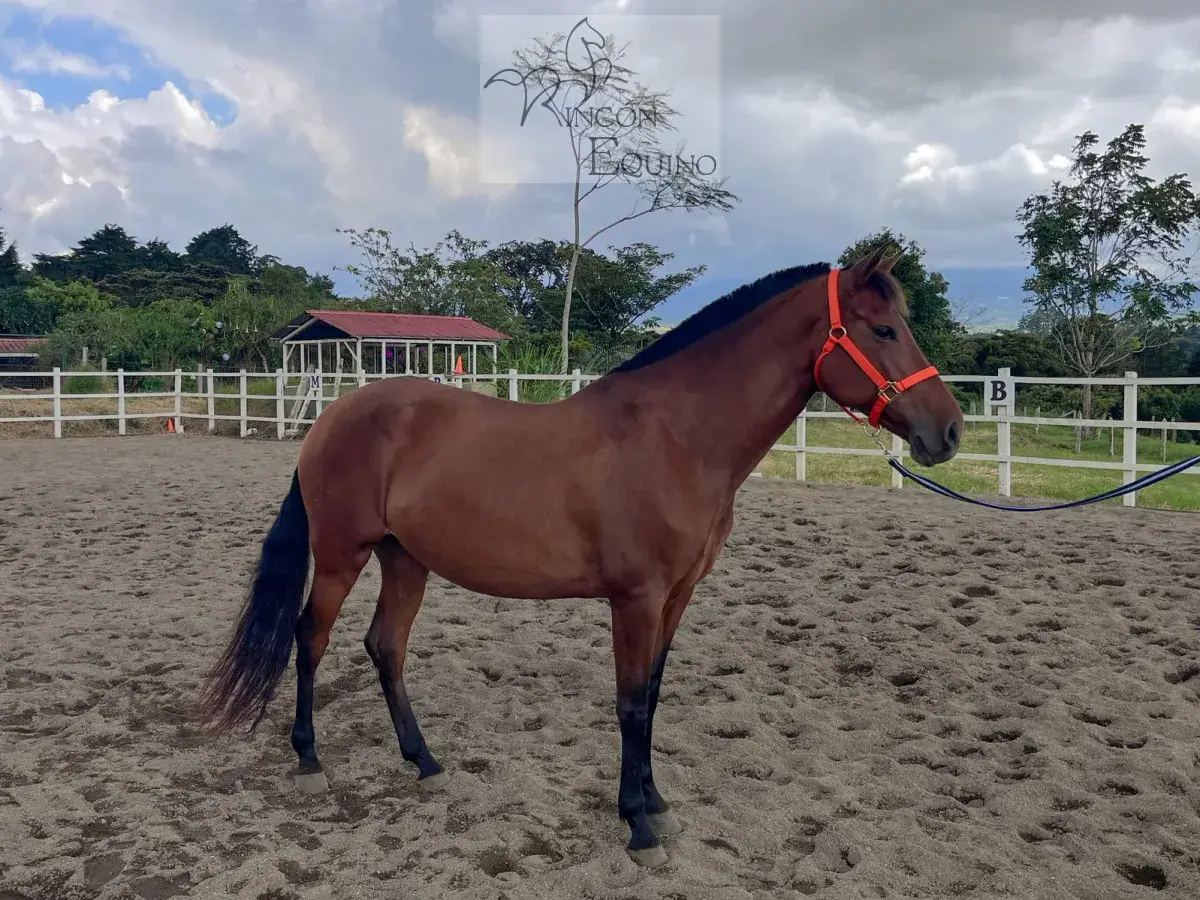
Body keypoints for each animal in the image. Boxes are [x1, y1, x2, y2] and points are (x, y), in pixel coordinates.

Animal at [194, 246, 964, 868]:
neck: (678, 437)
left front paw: (656, 804)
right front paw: (638, 827)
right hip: (341, 554)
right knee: (310, 639)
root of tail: (331, 416)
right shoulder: (637, 598)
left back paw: (425, 762)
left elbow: (652, 696)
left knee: (385, 646)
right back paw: (310, 759)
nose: (949, 431)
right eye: (884, 329)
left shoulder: (677, 596)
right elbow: (628, 703)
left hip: (405, 560)